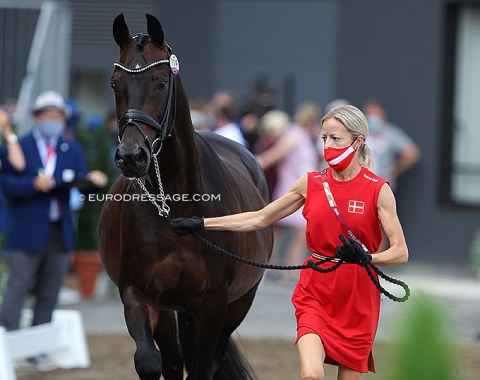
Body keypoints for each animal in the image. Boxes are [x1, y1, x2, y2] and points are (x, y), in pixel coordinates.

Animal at [96, 13, 274, 378]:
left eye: (162, 82)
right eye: (114, 83)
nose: (131, 157)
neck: (178, 207)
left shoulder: (214, 304)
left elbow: (203, 365)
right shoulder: (139, 293)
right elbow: (150, 361)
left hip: (239, 303)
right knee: (173, 359)